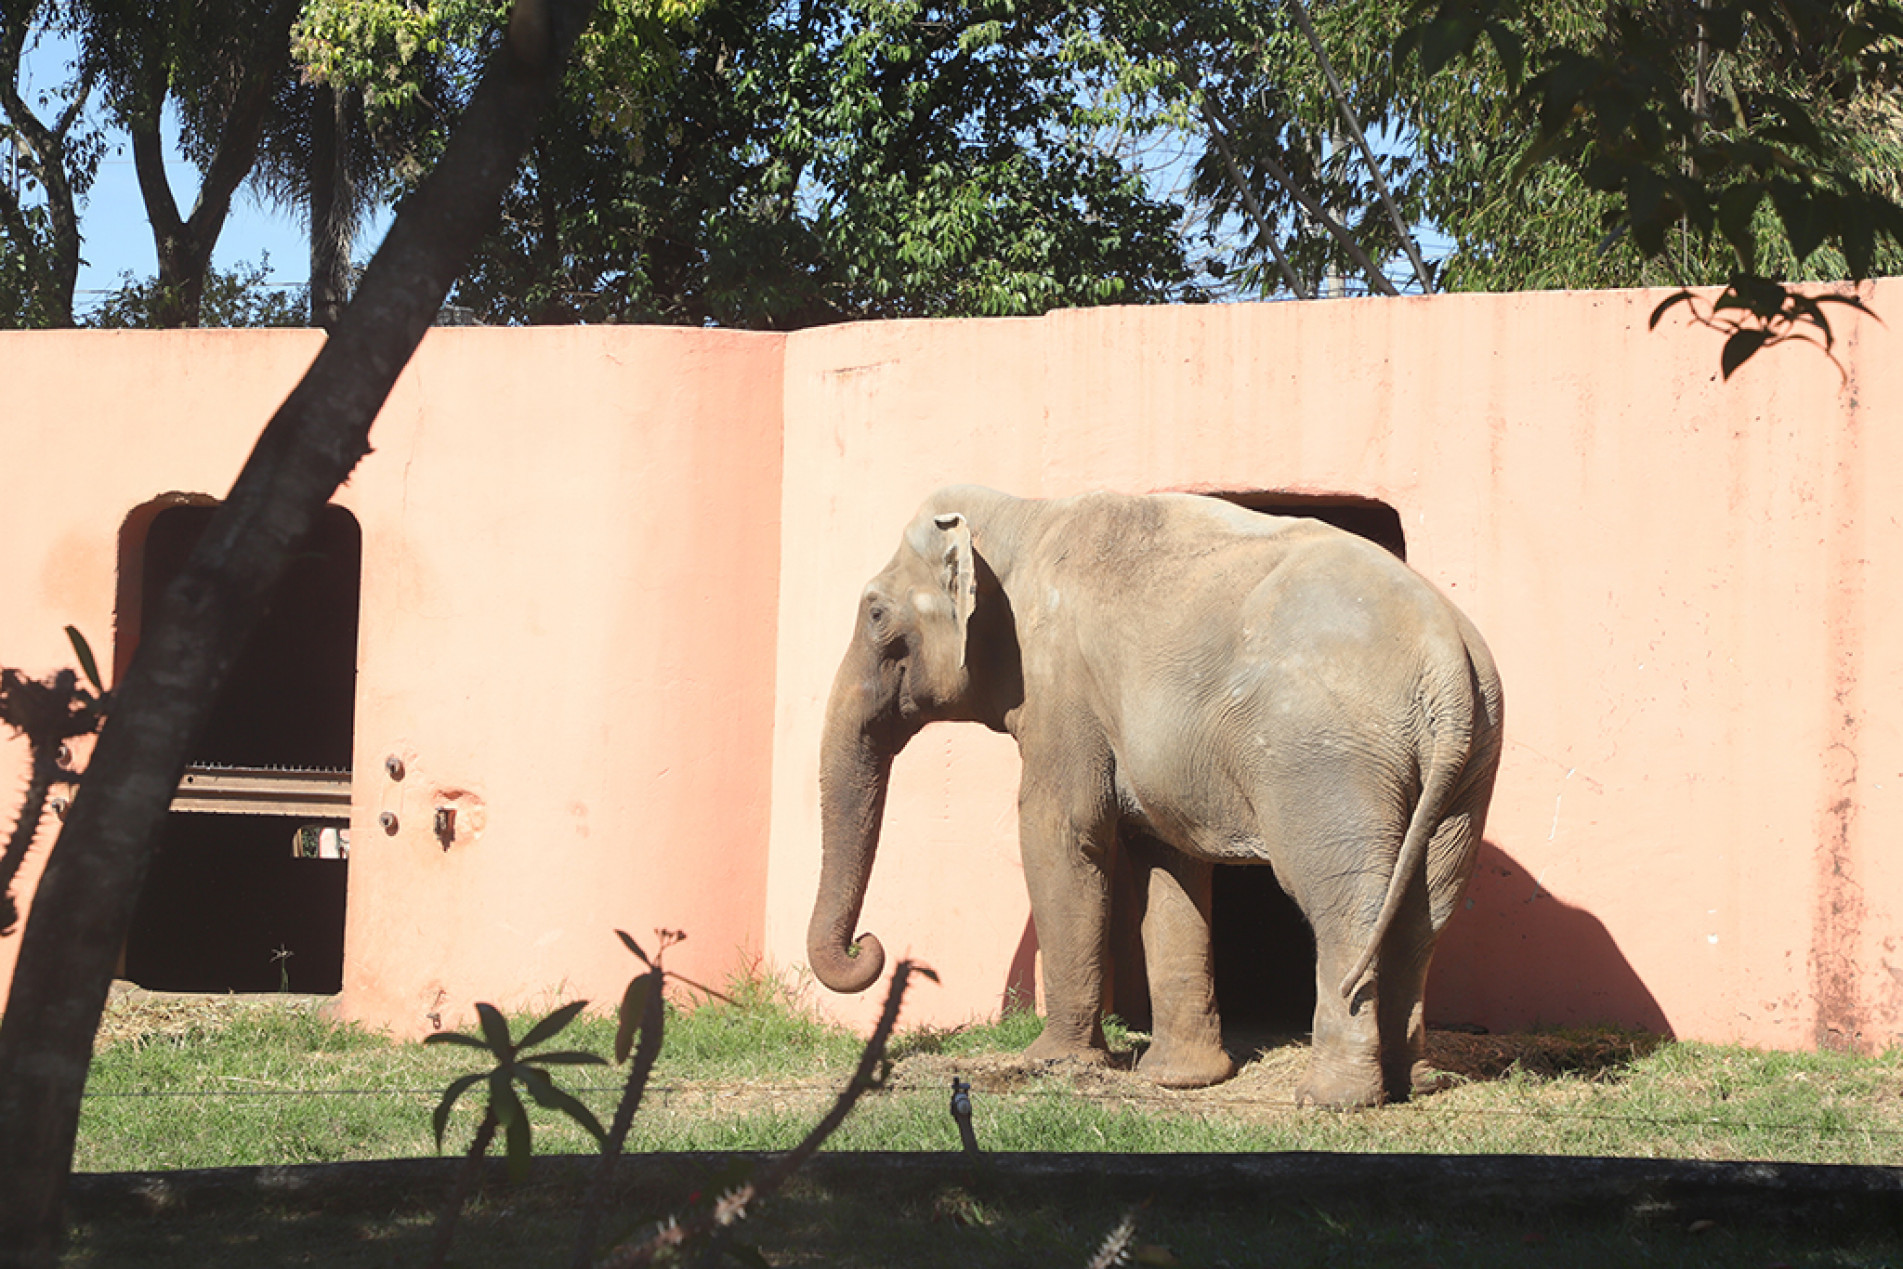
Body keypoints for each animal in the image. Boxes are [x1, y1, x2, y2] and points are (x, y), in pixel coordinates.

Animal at [806, 486, 1503, 1108]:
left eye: (875, 613)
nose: (869, 943)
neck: (1023, 516)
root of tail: (1445, 655)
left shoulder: (1062, 683)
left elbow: (1059, 832)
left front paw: (1052, 1064)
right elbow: (1167, 860)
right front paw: (1180, 1081)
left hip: (1327, 758)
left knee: (1341, 902)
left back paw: (1333, 1099)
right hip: (1469, 765)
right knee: (1426, 910)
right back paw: (1414, 1084)